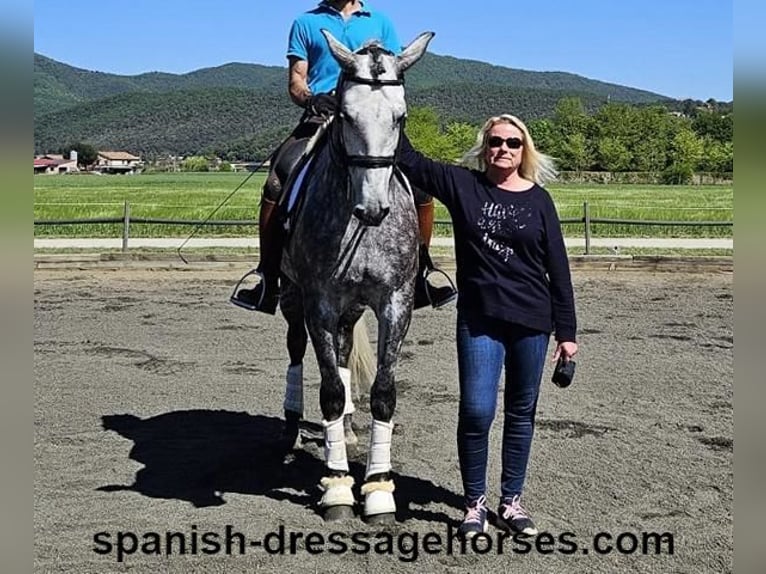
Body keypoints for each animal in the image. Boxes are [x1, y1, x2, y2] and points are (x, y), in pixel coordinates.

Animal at [280, 31, 438, 528]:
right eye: (346, 116)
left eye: (400, 117)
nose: (372, 209)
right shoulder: (320, 302)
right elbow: (330, 389)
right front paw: (336, 488)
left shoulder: (395, 302)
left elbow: (383, 392)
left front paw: (379, 490)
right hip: (293, 298)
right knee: (297, 349)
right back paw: (292, 429)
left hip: (351, 309)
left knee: (347, 349)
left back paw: (348, 431)